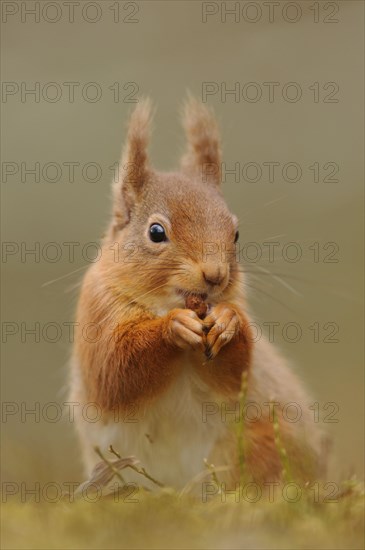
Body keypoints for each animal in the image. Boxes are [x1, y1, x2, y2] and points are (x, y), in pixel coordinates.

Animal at [70, 99, 324, 492]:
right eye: (156, 232)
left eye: (236, 233)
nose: (215, 275)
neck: (166, 304)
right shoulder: (96, 311)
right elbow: (114, 373)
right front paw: (172, 328)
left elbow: (234, 375)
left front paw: (227, 322)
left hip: (258, 438)